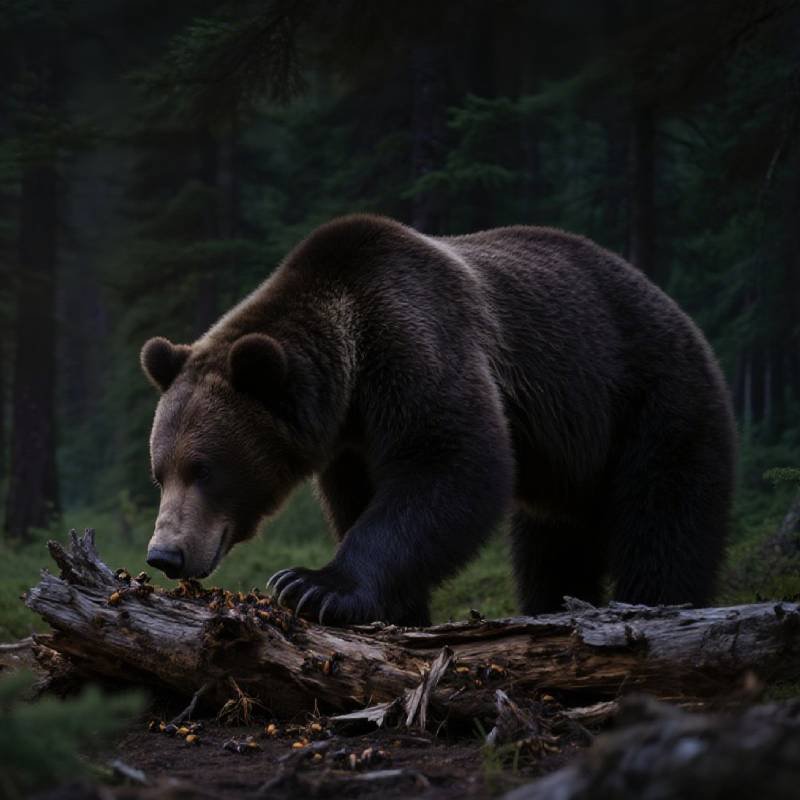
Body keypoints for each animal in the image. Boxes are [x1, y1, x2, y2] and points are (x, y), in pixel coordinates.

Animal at [141, 214, 736, 627]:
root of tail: (679, 312)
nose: (165, 554)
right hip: (569, 469)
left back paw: (657, 602)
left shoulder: (420, 345)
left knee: (664, 523)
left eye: (205, 470)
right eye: (160, 473)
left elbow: (451, 464)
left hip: (652, 402)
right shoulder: (351, 443)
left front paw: (311, 585)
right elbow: (361, 499)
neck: (350, 386)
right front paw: (397, 612)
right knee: (550, 551)